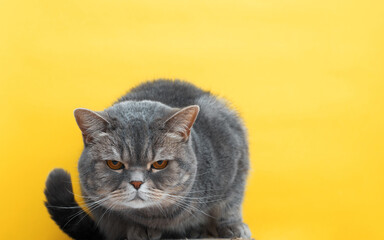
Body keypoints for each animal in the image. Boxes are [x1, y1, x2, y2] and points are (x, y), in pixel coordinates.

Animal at [44, 79, 252, 239]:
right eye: (114, 164)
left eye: (160, 163)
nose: (136, 182)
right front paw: (140, 230)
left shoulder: (236, 162)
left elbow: (231, 203)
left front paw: (232, 226)